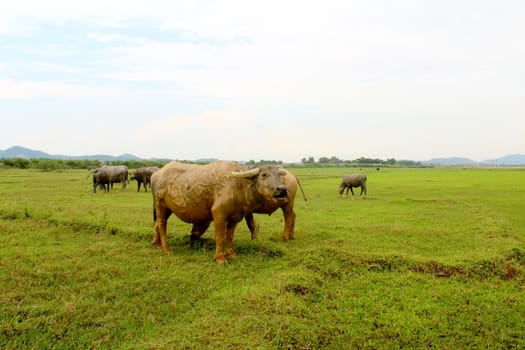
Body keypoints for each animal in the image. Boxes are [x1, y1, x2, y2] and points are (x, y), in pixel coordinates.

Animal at [149, 161, 288, 262]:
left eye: (279, 175)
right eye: (264, 175)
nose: (282, 189)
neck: (238, 185)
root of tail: (157, 174)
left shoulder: (235, 217)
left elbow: (229, 236)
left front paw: (230, 254)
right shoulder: (219, 214)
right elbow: (220, 236)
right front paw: (220, 258)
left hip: (167, 209)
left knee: (157, 224)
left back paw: (156, 244)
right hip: (160, 205)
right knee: (161, 225)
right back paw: (167, 250)